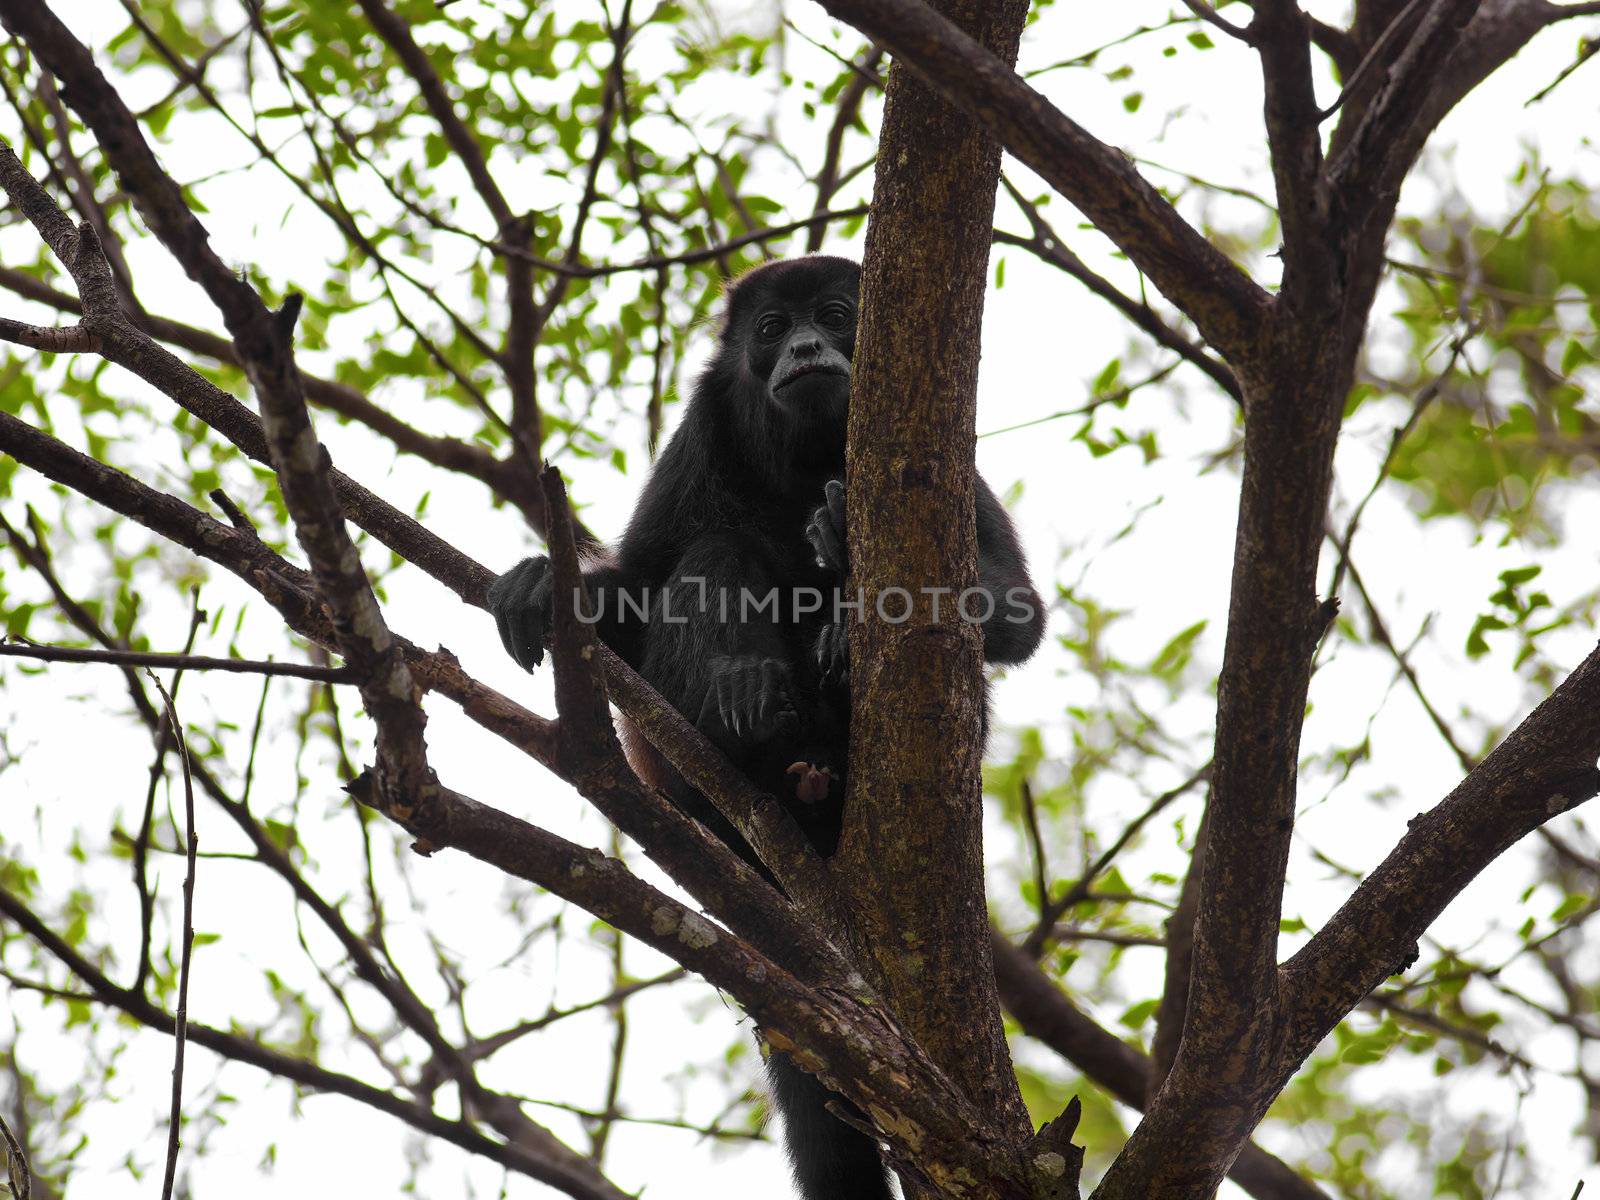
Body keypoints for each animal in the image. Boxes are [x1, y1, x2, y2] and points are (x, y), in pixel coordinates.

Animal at [480, 254, 1043, 1200]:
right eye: (775, 329)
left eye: (837, 315)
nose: (809, 348)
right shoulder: (699, 432)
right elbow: (645, 582)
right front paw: (542, 583)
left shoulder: (951, 467)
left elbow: (1015, 609)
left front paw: (846, 570)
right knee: (718, 552)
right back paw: (751, 710)